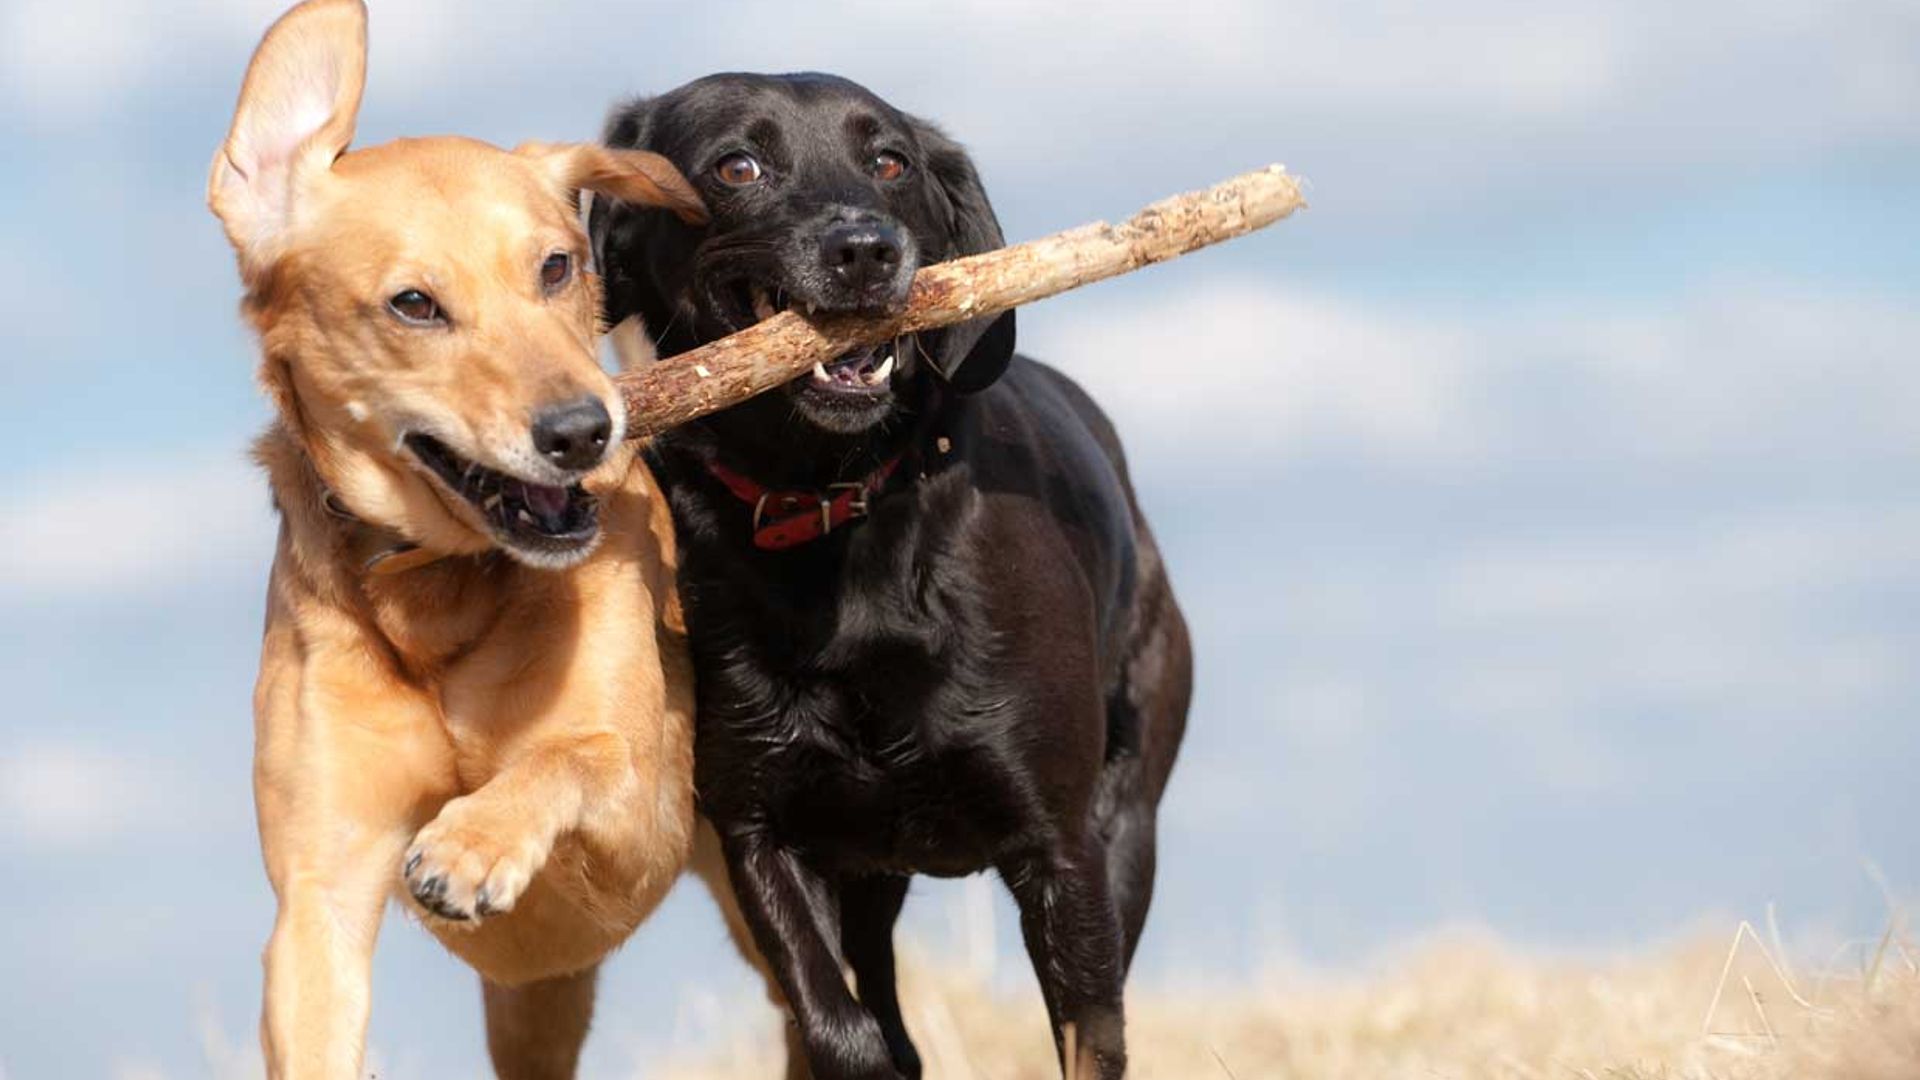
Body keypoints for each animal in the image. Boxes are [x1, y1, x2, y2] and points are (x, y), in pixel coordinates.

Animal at [206, 4, 714, 1068]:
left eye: (557, 265)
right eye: (414, 304)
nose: (583, 431)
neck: (435, 596)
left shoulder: (643, 814)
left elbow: (572, 753)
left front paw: (471, 841)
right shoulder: (316, 907)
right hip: (535, 1006)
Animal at [591, 75, 1190, 1076]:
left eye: (891, 162)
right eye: (736, 166)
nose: (867, 250)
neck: (834, 509)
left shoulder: (1063, 854)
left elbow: (1088, 1036)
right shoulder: (763, 835)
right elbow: (843, 1031)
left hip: (1130, 815)